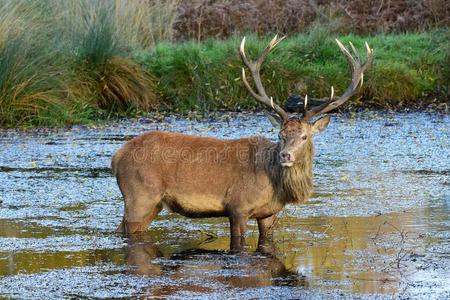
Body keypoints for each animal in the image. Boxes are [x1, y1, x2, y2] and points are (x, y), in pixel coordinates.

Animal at [112, 35, 372, 251]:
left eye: (304, 136)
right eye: (280, 134)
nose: (285, 155)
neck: (275, 185)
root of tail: (117, 156)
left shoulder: (269, 214)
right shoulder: (238, 207)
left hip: (153, 204)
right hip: (139, 196)